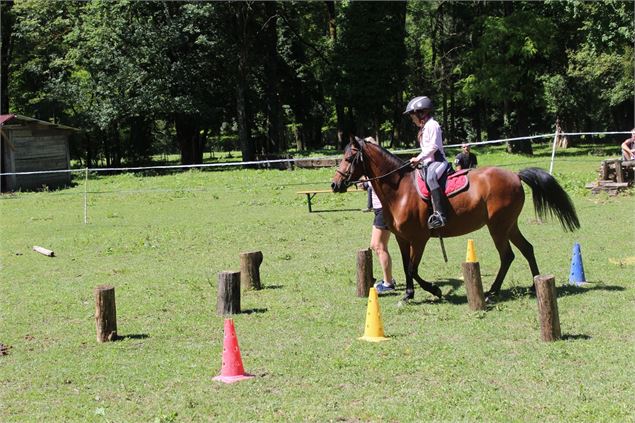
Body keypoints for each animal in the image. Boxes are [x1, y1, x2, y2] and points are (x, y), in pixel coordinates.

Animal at [332, 137, 580, 304]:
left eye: (348, 158)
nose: (335, 184)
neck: (400, 190)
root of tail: (515, 175)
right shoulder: (402, 239)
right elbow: (405, 267)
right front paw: (409, 294)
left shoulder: (419, 239)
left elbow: (412, 268)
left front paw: (434, 290)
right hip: (509, 226)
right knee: (527, 249)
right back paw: (534, 285)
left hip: (498, 227)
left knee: (507, 256)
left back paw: (491, 293)